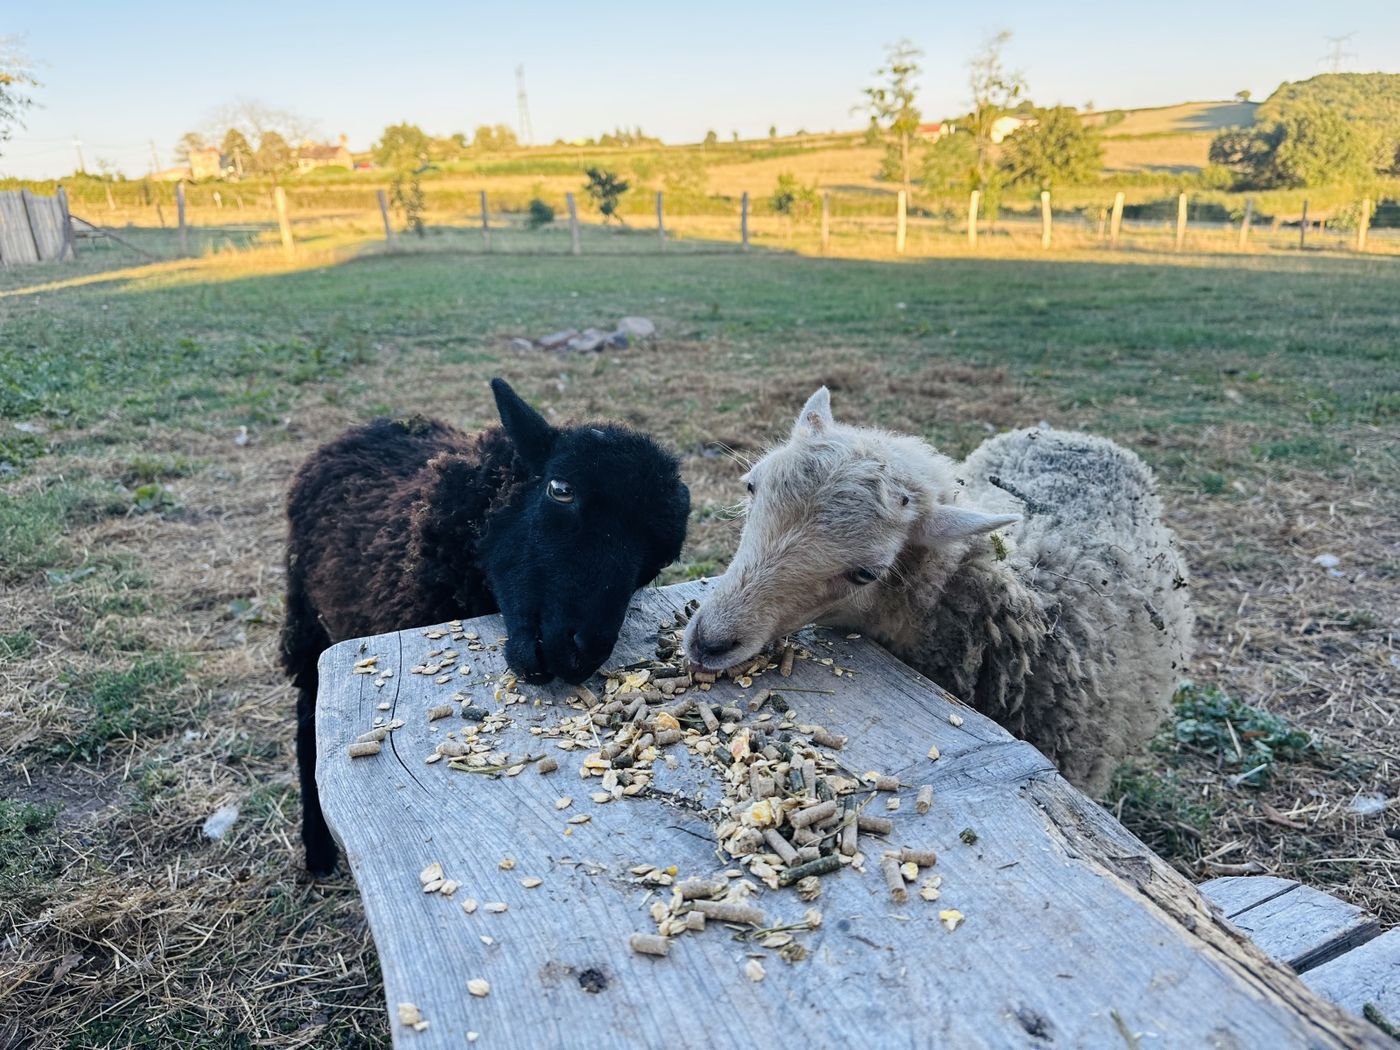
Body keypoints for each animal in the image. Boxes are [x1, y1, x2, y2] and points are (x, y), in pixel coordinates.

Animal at [282, 378, 690, 875]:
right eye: (560, 489)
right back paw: (317, 849)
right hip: (306, 623)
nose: (578, 651)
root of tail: (370, 426)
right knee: (307, 721)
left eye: (658, 561)